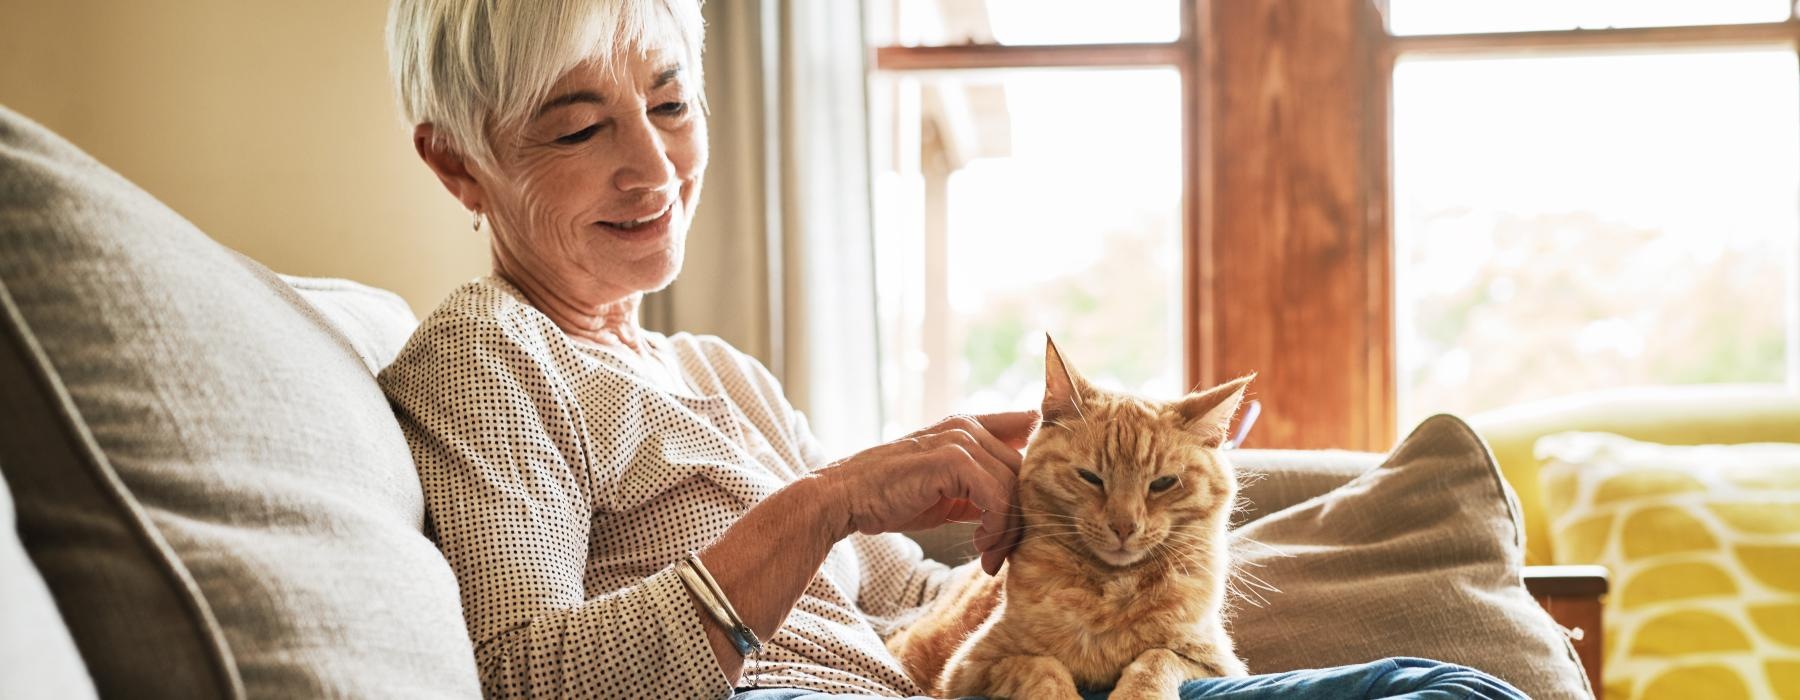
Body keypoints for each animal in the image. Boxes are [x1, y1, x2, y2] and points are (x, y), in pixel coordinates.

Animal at [885, 336, 1252, 691]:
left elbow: (1156, 659)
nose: (1124, 526)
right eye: (1090, 477)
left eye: (1163, 483)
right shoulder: (969, 670)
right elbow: (1043, 667)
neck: (1110, 588)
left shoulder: (1215, 663)